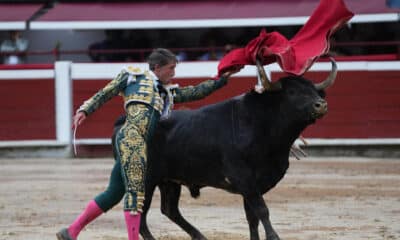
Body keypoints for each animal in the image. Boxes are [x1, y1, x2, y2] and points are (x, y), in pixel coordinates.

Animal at [112, 58, 338, 240]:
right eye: (292, 92)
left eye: (315, 91)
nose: (321, 105)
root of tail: (123, 121)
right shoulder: (245, 179)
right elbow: (262, 210)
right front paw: (274, 237)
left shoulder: (254, 185)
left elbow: (252, 217)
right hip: (145, 179)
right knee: (140, 213)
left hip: (169, 181)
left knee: (169, 209)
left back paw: (199, 236)